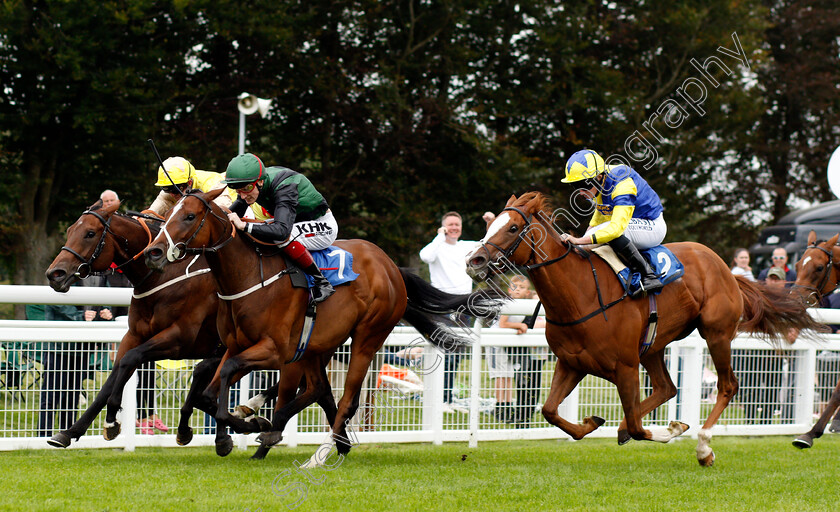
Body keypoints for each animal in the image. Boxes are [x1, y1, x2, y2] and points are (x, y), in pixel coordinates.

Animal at [43, 202, 292, 450]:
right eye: (69, 230)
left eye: (90, 233)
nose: (55, 274)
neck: (162, 277)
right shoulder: (134, 336)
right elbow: (114, 376)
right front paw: (70, 431)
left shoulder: (178, 339)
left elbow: (131, 359)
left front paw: (112, 418)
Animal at [144, 189, 498, 464]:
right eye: (170, 213)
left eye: (190, 216)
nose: (155, 251)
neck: (247, 276)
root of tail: (390, 266)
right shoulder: (237, 346)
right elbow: (208, 391)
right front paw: (236, 430)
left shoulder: (274, 350)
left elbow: (226, 376)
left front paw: (243, 428)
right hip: (318, 345)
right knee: (318, 389)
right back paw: (306, 437)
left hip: (367, 337)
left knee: (346, 400)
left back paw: (318, 450)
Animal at [466, 191, 828, 464]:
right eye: (492, 224)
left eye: (513, 227)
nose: (474, 261)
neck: (579, 294)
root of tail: (726, 268)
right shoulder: (571, 363)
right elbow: (550, 410)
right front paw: (592, 422)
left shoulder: (624, 366)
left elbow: (639, 427)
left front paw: (668, 431)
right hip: (654, 345)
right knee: (667, 388)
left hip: (716, 333)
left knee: (726, 385)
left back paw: (703, 447)